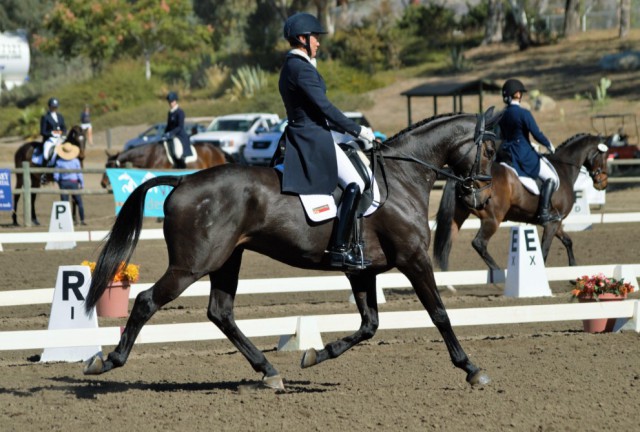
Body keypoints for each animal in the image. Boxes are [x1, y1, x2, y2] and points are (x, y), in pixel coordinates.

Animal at [436, 133, 608, 272]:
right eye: (605, 157)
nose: (603, 183)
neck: (564, 169)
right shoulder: (551, 223)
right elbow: (544, 251)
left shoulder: (556, 221)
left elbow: (568, 241)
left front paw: (573, 268)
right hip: (492, 219)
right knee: (479, 243)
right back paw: (498, 274)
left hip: (458, 216)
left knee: (447, 244)